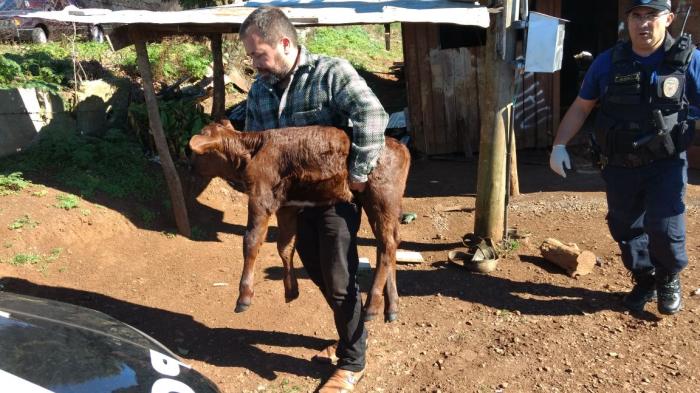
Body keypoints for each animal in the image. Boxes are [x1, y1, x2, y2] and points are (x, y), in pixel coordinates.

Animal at [189, 120, 412, 322]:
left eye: (198, 153)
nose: (188, 164)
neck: (251, 151)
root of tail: (400, 146)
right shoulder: (286, 206)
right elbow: (285, 245)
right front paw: (291, 289)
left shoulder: (260, 199)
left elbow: (251, 242)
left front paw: (244, 296)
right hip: (386, 204)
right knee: (390, 242)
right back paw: (391, 306)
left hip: (381, 196)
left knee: (387, 244)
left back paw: (372, 307)